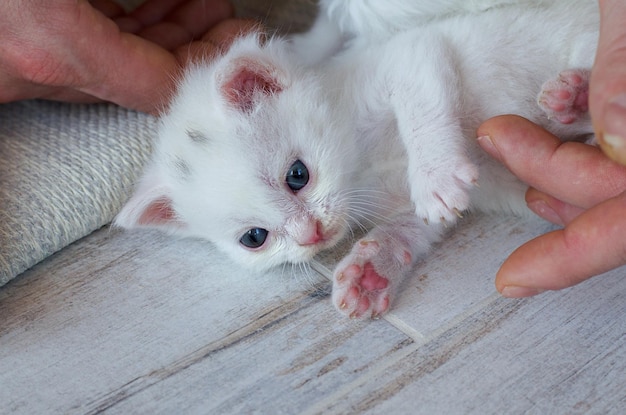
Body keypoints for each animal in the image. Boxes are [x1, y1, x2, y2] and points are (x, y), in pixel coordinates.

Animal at [114, 0, 596, 318]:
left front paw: (435, 178)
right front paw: (371, 270)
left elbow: (422, 105)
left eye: (298, 175)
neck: (361, 170)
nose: (309, 235)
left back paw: (575, 95)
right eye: (255, 238)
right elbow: (408, 229)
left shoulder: (412, 51)